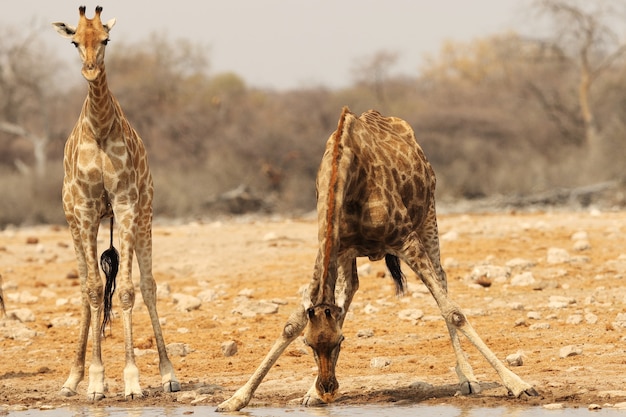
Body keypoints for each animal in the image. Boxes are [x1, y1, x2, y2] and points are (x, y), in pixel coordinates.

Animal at [51, 5, 179, 396]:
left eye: (106, 39)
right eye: (75, 41)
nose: (90, 70)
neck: (100, 129)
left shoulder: (125, 204)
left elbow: (125, 290)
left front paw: (132, 380)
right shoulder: (85, 210)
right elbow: (94, 290)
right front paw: (95, 380)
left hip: (144, 214)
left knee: (149, 287)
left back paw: (168, 374)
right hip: (74, 223)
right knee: (84, 290)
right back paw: (71, 379)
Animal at [217, 106, 532, 410]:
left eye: (341, 340)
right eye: (308, 344)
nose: (327, 389)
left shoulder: (406, 239)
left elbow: (453, 311)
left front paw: (518, 384)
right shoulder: (333, 247)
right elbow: (292, 323)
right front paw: (236, 399)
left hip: (428, 216)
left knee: (442, 279)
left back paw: (468, 378)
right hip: (354, 253)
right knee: (351, 289)